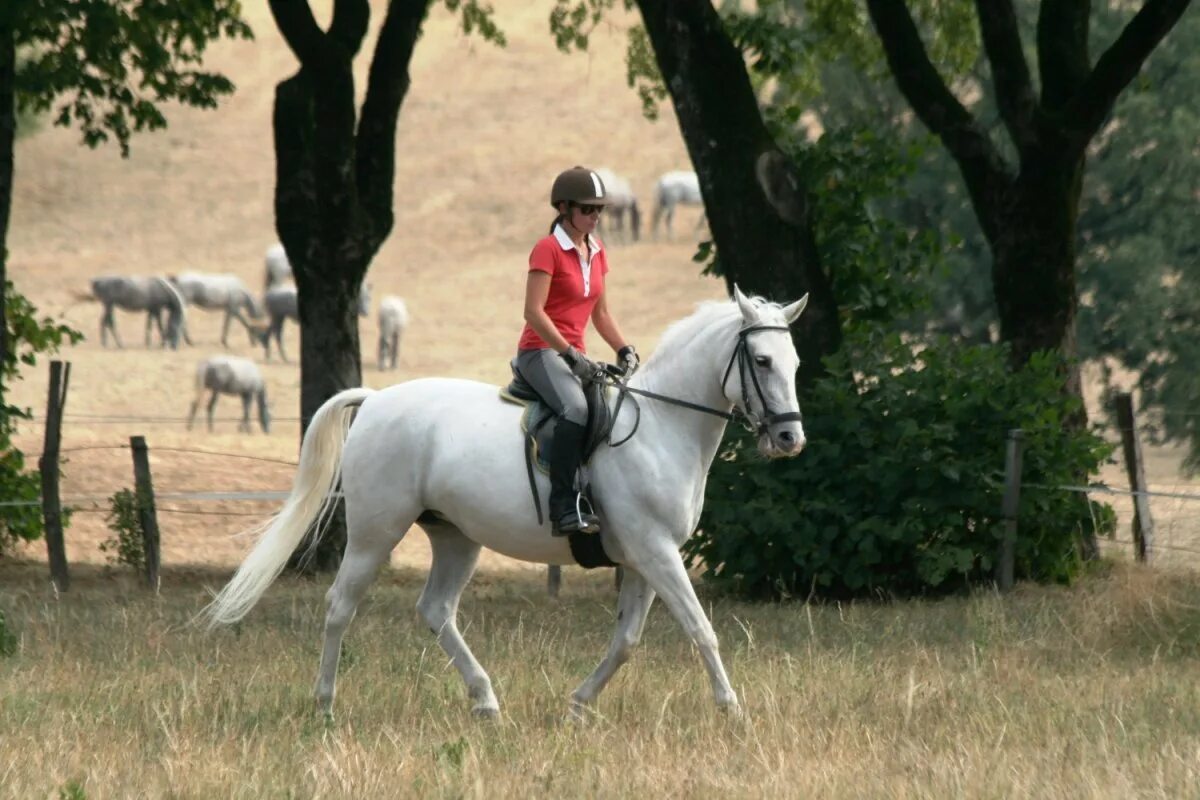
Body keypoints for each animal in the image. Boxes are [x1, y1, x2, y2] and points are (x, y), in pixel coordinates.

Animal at [204, 286, 806, 719]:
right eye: (761, 360)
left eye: (795, 362)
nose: (789, 438)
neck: (662, 423)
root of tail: (374, 401)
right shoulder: (657, 553)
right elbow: (701, 628)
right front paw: (732, 709)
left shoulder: (642, 559)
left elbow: (627, 641)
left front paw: (578, 704)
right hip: (377, 532)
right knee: (339, 605)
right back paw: (325, 704)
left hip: (455, 536)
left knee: (436, 610)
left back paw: (485, 700)